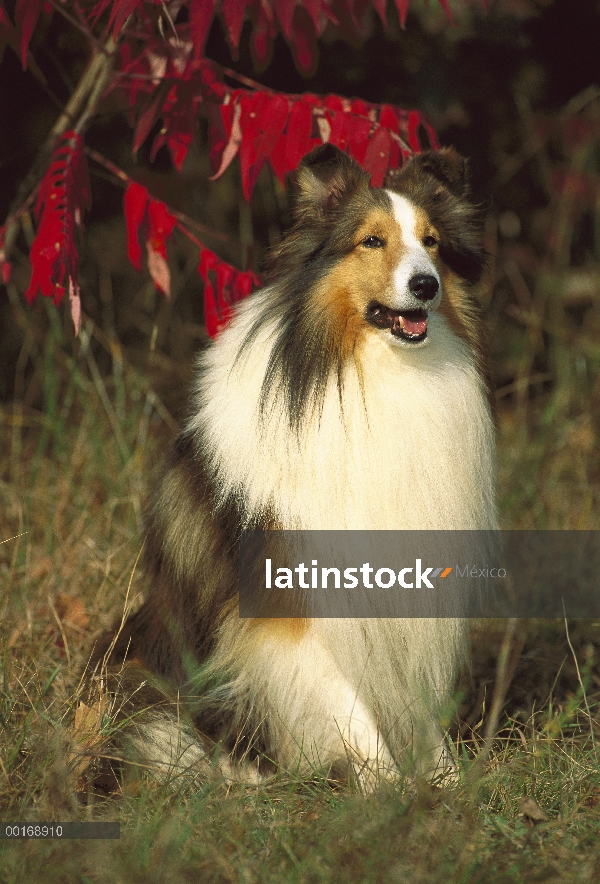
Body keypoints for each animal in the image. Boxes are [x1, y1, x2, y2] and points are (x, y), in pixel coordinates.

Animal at [91, 145, 496, 796]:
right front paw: (391, 790)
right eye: (371, 241)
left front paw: (450, 782)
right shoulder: (296, 603)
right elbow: (348, 704)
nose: (426, 286)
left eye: (432, 242)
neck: (368, 373)